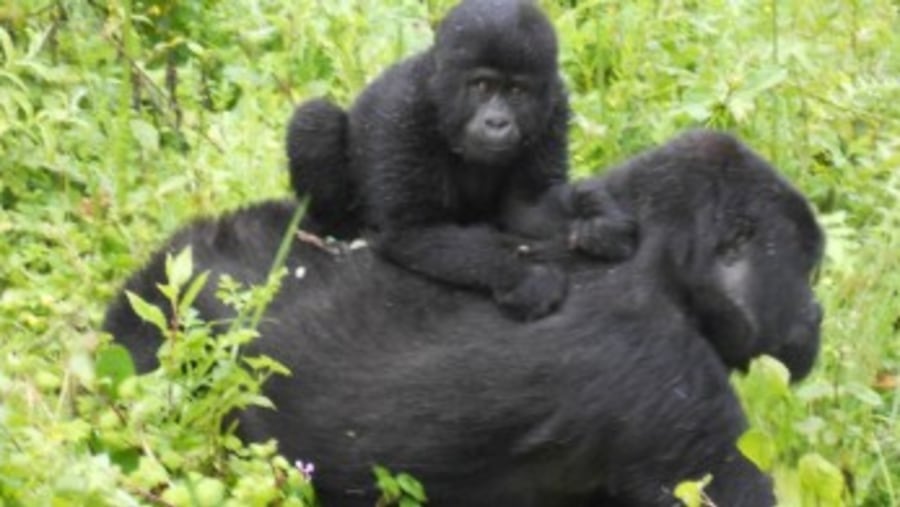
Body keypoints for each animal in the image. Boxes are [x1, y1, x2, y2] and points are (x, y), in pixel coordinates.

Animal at [286, 0, 632, 320]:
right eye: (482, 86)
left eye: (517, 91)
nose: (497, 123)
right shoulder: (406, 108)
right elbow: (413, 230)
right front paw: (520, 275)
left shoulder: (554, 105)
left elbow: (527, 208)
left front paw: (599, 215)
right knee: (314, 120)